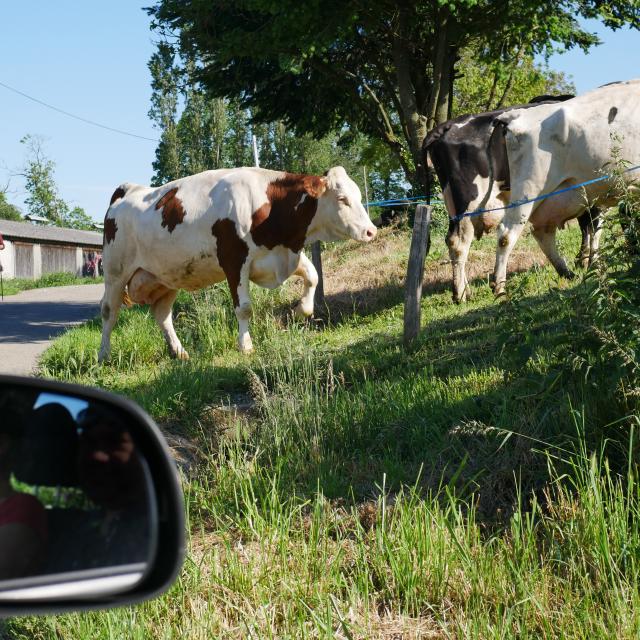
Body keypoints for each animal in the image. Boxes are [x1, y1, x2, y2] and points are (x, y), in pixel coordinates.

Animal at [98, 168, 378, 362]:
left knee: (162, 315)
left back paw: (180, 353)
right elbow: (244, 308)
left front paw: (301, 310)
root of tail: (128, 190)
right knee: (109, 312)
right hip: (115, 272)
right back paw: (104, 355)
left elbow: (313, 277)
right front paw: (245, 345)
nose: (371, 231)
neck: (269, 206)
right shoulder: (234, 262)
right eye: (342, 199)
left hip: (165, 276)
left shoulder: (283, 253)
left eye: (358, 195)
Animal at [490, 79, 640, 296]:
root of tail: (514, 116)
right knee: (506, 235)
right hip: (529, 189)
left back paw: (566, 271)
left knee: (543, 232)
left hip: (565, 196)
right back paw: (499, 287)